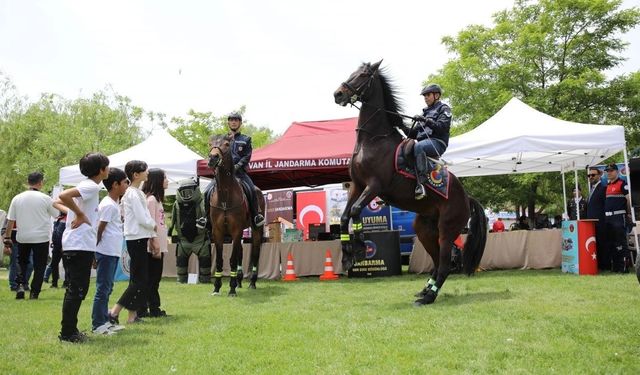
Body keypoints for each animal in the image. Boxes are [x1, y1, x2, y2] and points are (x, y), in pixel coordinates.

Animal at [206, 134, 264, 296]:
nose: (213, 158)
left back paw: (251, 283)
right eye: (209, 144)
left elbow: (231, 259)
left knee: (255, 253)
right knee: (240, 253)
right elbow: (220, 260)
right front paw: (217, 287)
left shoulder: (236, 230)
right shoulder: (218, 232)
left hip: (255, 230)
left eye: (226, 144)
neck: (225, 194)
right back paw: (239, 281)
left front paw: (231, 289)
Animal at [332, 61, 488, 306]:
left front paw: (359, 248)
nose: (338, 94)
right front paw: (348, 255)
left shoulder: (374, 186)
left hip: (447, 229)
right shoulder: (357, 185)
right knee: (440, 262)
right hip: (424, 230)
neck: (373, 140)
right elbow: (345, 216)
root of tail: (466, 197)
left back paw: (429, 297)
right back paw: (425, 291)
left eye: (363, 75)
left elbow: (356, 211)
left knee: (446, 264)